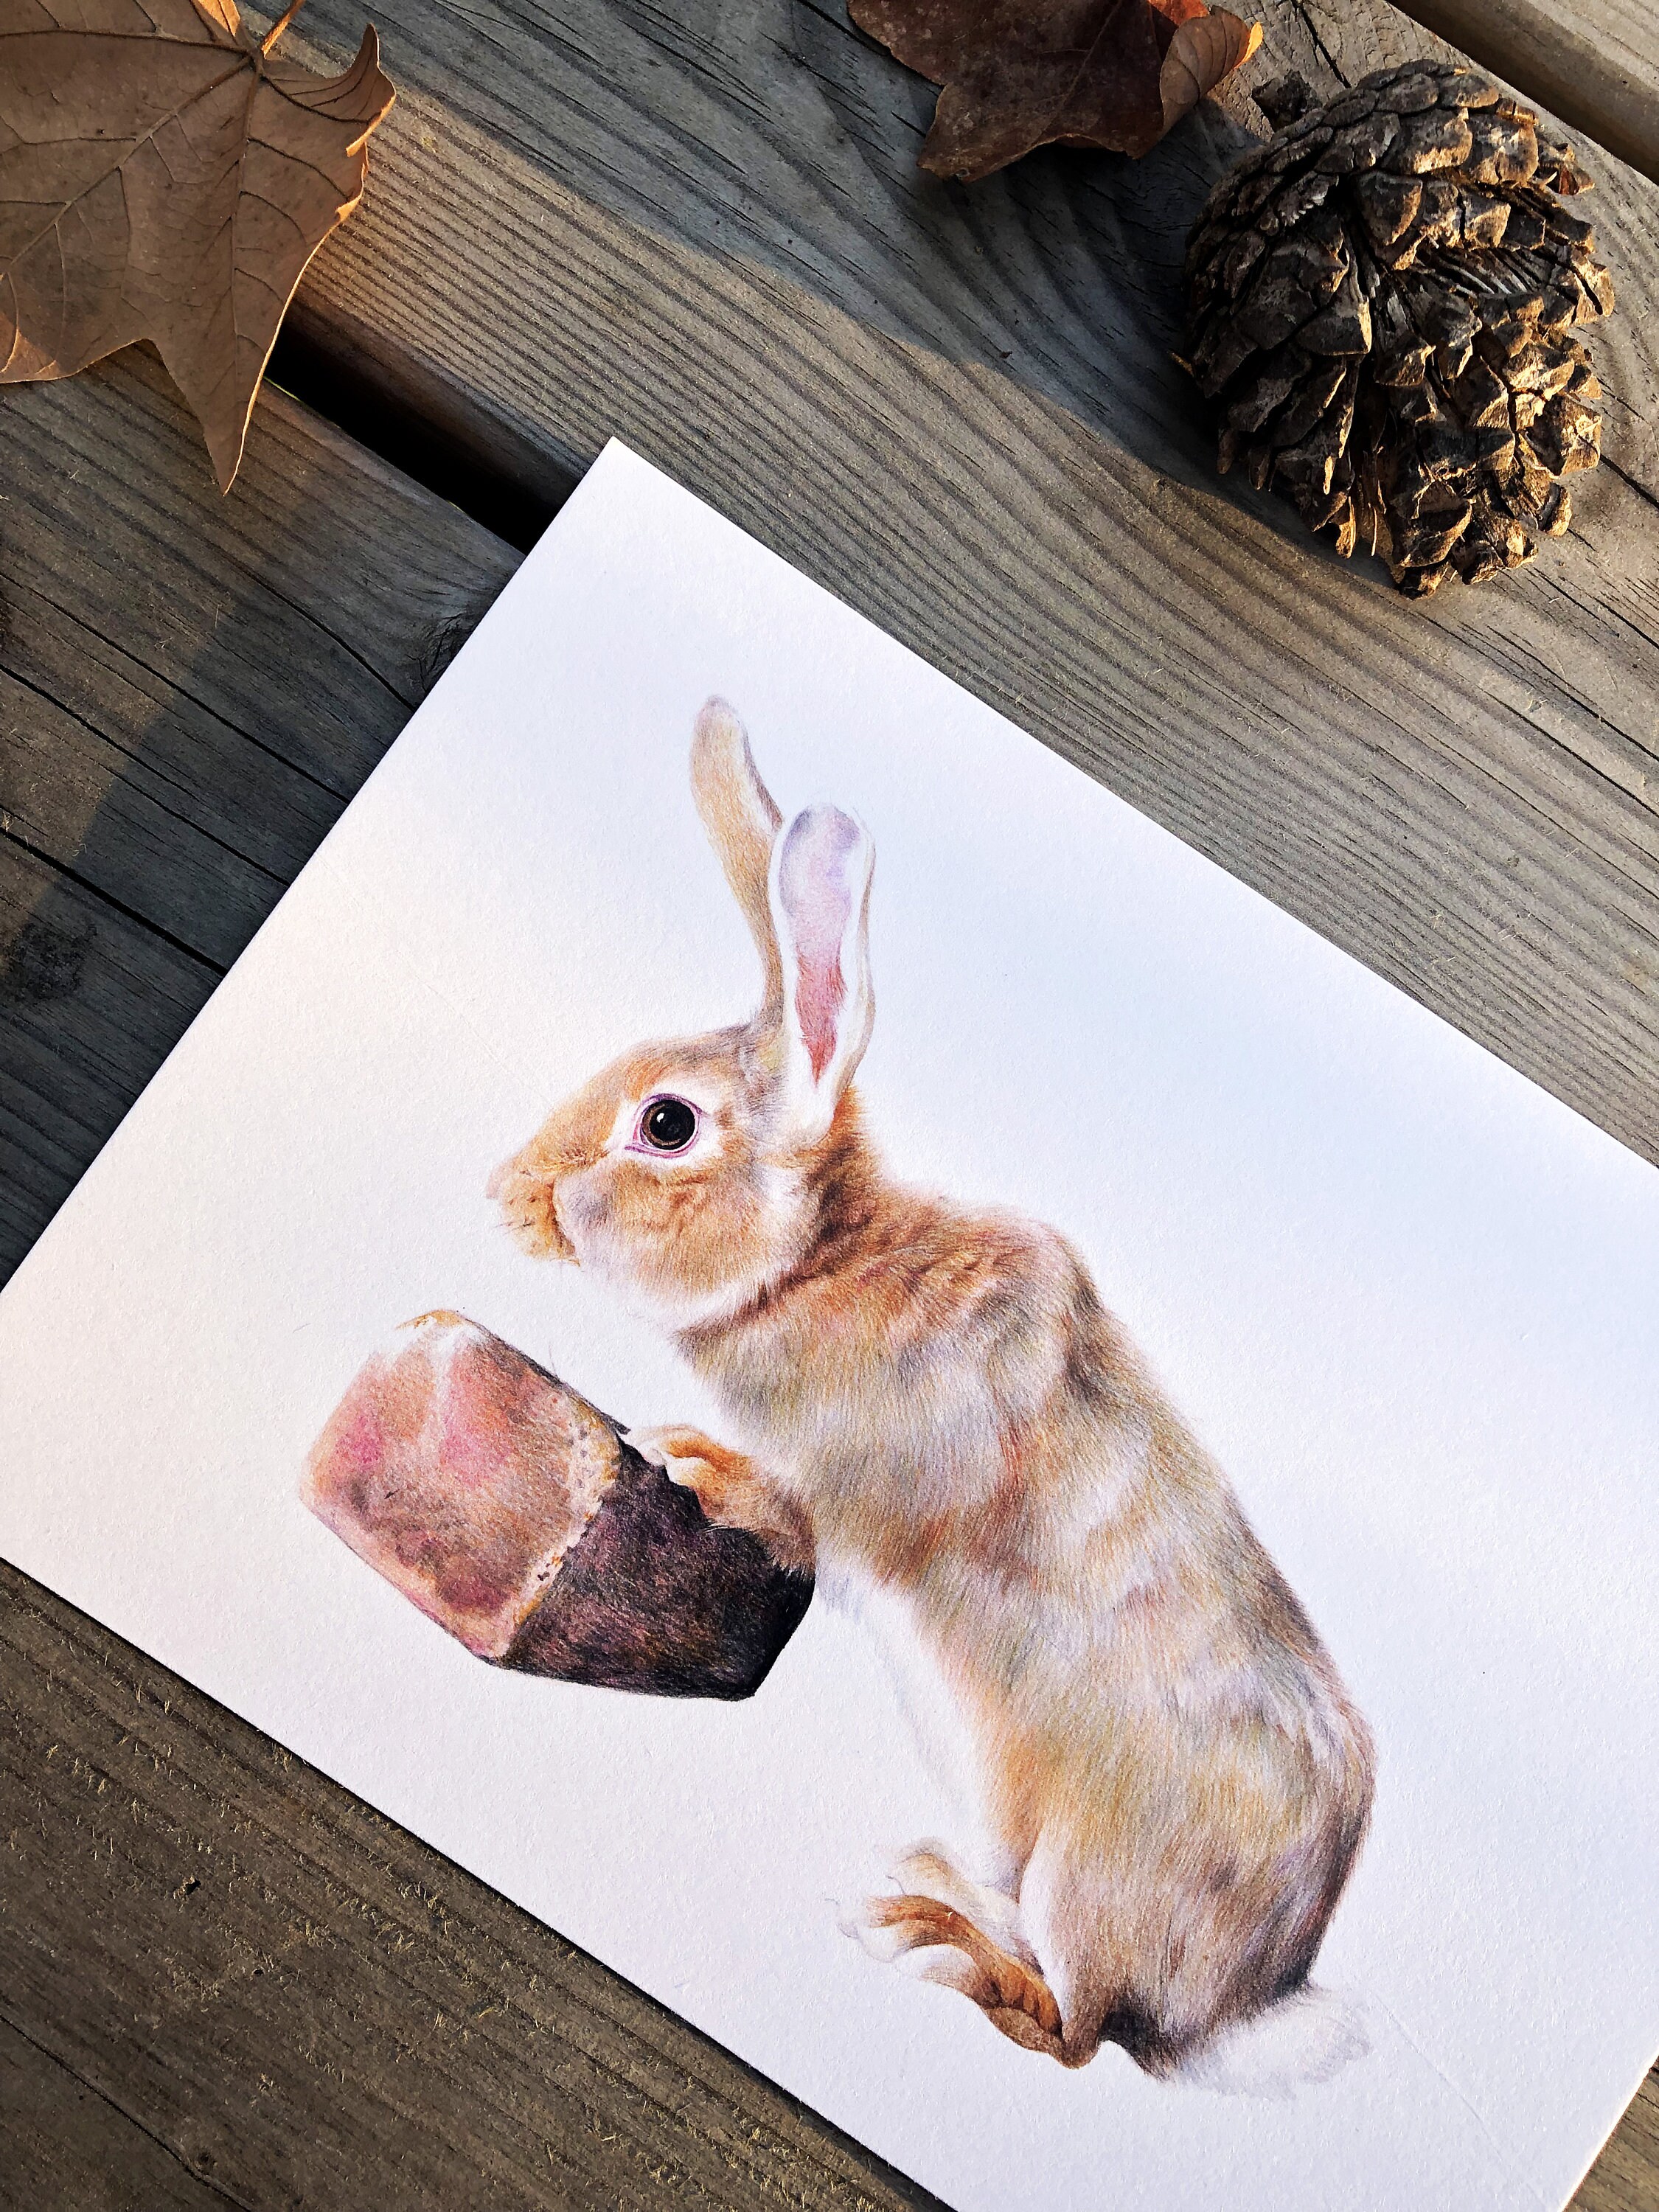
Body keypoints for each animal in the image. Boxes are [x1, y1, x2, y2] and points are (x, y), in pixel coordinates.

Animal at [490, 697, 1375, 2078]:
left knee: (1072, 2032)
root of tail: (1246, 2001)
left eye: (668, 1125)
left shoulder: (874, 1500)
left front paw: (701, 1463)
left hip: (1088, 1873)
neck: (814, 1262)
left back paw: (929, 1940)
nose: (510, 1197)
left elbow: (806, 1520)